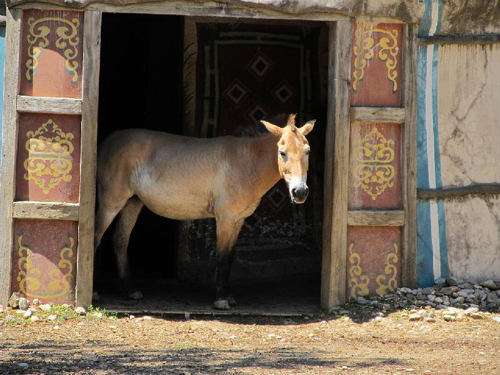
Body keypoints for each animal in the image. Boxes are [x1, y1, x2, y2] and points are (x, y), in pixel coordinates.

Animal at [94, 114, 314, 312]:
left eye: (307, 151)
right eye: (282, 152)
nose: (300, 192)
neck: (244, 163)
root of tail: (107, 142)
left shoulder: (238, 220)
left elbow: (230, 257)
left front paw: (228, 295)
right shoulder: (225, 219)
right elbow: (221, 257)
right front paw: (220, 300)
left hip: (132, 202)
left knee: (120, 240)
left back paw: (131, 290)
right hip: (110, 203)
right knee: (96, 237)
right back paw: (95, 291)